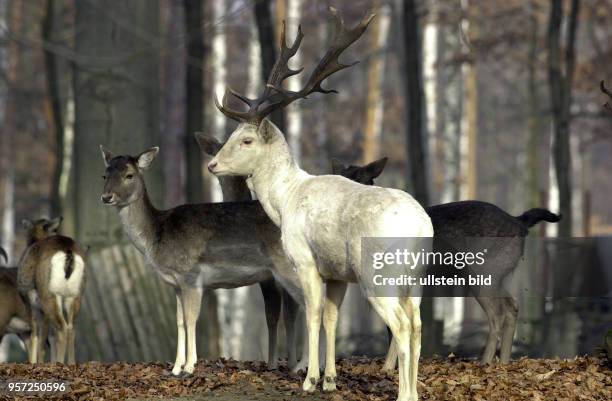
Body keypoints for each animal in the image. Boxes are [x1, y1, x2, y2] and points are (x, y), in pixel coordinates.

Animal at [17, 217, 86, 364]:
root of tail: (68, 253)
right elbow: (49, 335)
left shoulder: (31, 304)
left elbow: (36, 334)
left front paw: (35, 363)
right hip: (74, 297)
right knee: (71, 328)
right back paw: (70, 363)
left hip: (50, 296)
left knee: (62, 328)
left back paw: (59, 363)